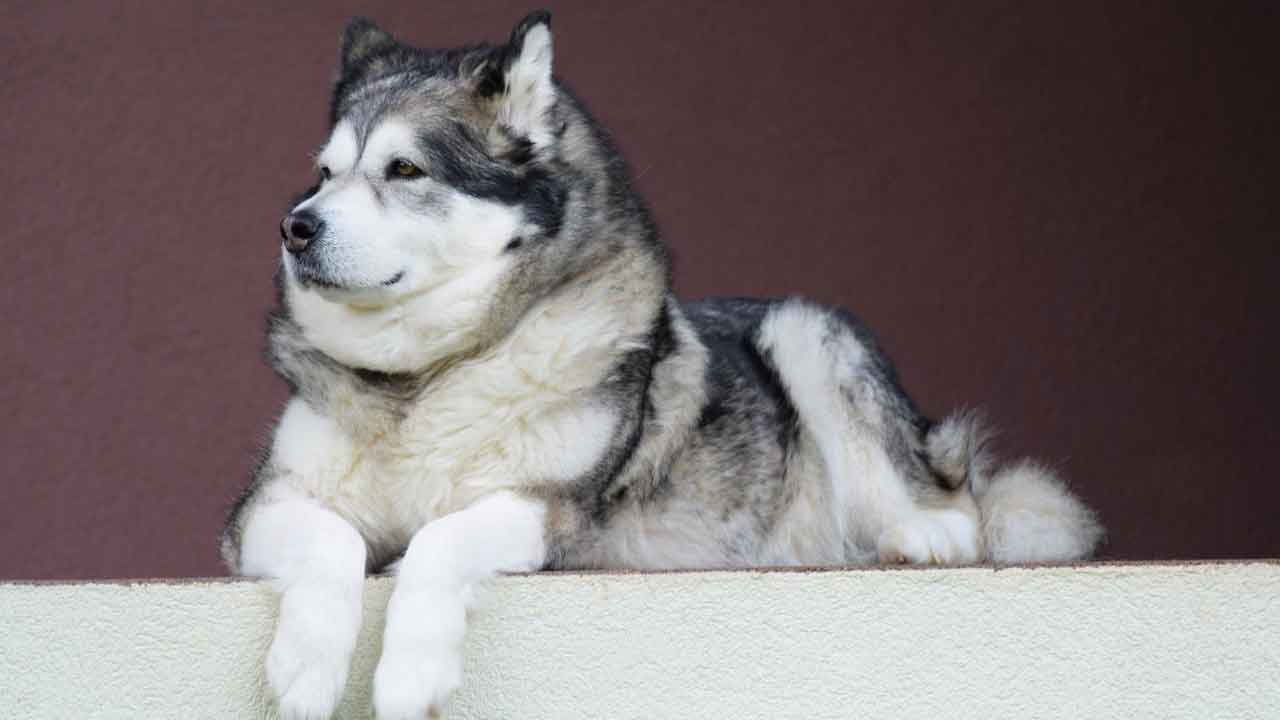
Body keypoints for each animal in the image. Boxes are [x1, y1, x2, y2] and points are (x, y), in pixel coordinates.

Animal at [220, 12, 1100, 717]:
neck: (430, 374)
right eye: (326, 173)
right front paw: (306, 668)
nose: (294, 227)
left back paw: (918, 536)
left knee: (958, 506)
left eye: (404, 170)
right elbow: (331, 538)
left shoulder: (550, 510)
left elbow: (438, 539)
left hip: (807, 329)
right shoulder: (261, 509)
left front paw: (409, 675)